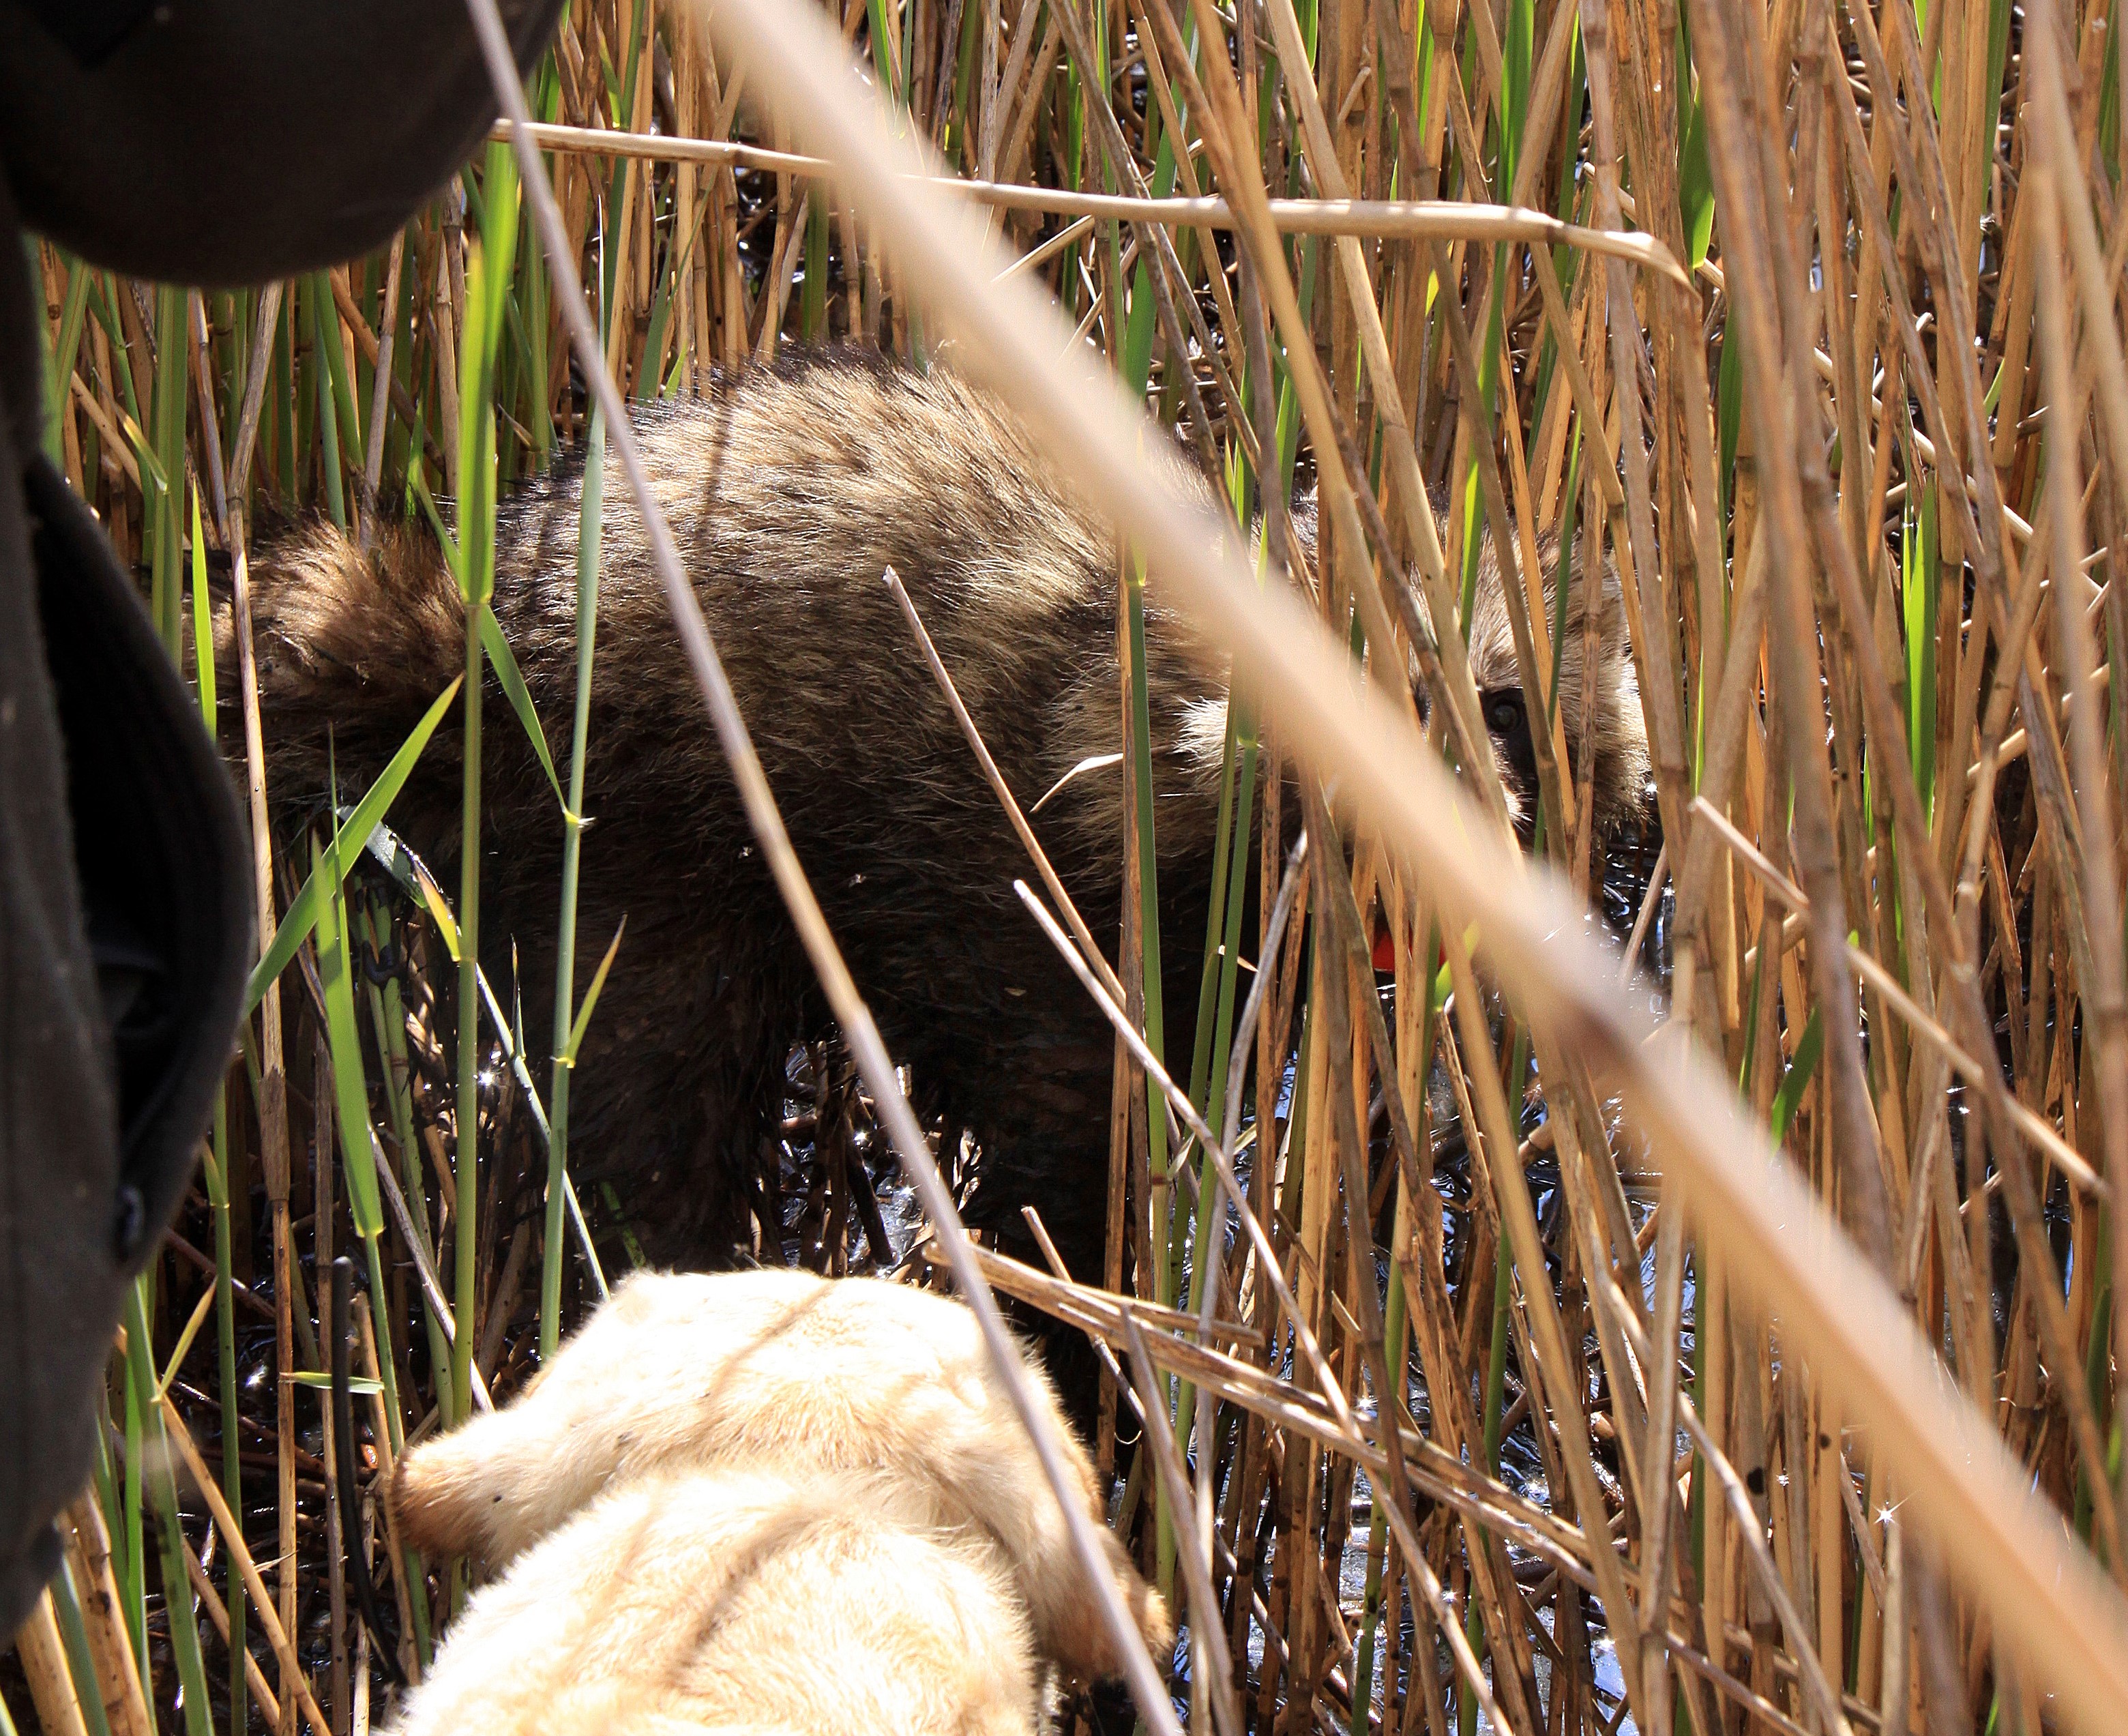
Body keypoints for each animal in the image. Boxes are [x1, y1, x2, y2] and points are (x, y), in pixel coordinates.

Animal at [244, 349, 1642, 1276]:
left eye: (1501, 703)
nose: (1465, 832)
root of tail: (473, 630)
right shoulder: (1047, 925)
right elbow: (1059, 1200)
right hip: (646, 847)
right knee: (652, 1116)